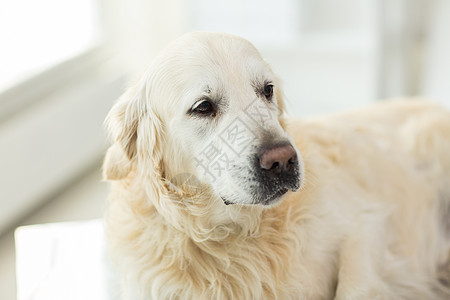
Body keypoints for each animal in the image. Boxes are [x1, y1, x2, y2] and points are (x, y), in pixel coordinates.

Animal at [103, 31, 450, 298]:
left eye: (267, 90)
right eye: (203, 107)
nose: (282, 161)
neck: (232, 237)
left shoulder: (368, 221)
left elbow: (353, 288)